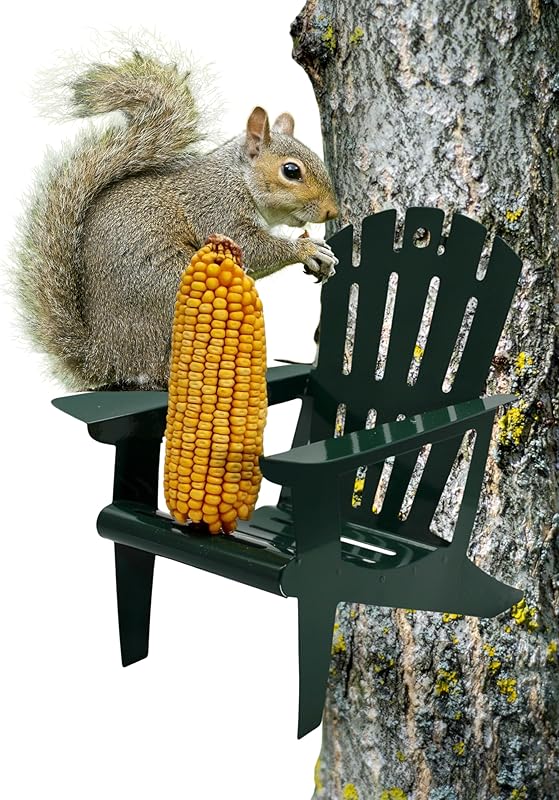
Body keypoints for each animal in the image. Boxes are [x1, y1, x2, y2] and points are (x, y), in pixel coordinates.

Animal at [12, 48, 338, 391]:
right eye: (291, 171)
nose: (332, 211)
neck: (237, 178)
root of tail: (105, 359)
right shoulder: (216, 209)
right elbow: (253, 250)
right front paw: (308, 250)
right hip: (176, 292)